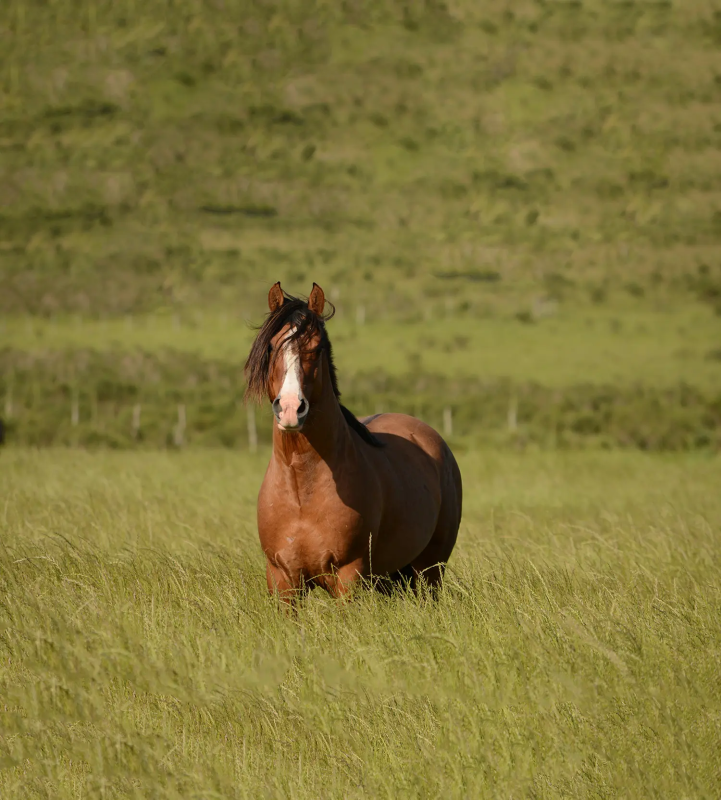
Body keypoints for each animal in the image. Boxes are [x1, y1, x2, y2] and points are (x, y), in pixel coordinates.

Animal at [245, 282, 464, 600]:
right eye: (272, 346)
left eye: (317, 348)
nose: (289, 408)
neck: (302, 492)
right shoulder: (282, 580)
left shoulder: (349, 577)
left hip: (430, 571)